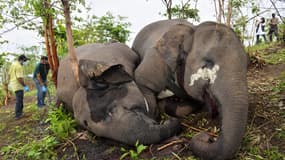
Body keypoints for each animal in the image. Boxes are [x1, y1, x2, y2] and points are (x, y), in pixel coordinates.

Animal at [132, 19, 247, 159]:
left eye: (246, 63)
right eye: (207, 63)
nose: (208, 137)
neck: (192, 31)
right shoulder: (155, 59)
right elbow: (141, 80)